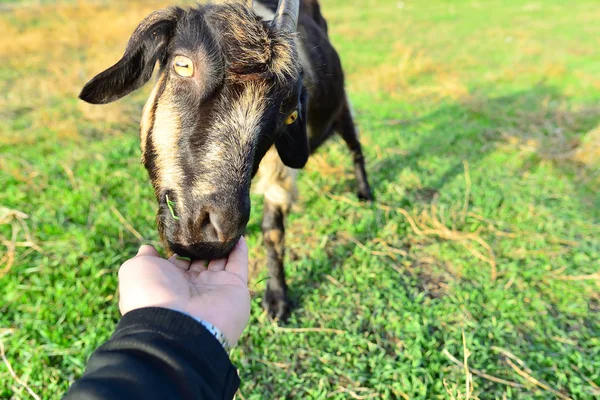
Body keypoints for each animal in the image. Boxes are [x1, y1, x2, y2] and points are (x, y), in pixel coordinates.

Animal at [79, 0, 370, 320]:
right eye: (183, 65)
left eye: (290, 115)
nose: (215, 232)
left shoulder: (279, 170)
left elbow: (273, 231)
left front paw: (277, 299)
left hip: (342, 109)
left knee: (355, 146)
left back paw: (365, 193)